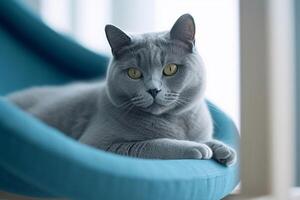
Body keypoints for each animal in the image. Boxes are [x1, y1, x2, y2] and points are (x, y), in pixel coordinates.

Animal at [7, 14, 237, 166]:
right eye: (134, 73)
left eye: (170, 69)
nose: (153, 90)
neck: (174, 121)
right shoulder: (97, 145)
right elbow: (152, 144)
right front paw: (197, 148)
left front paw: (222, 148)